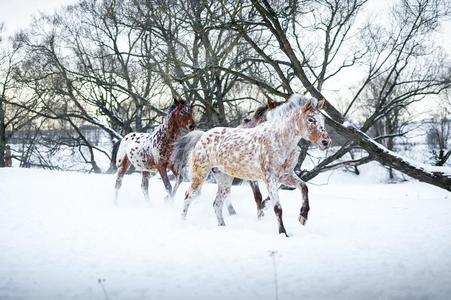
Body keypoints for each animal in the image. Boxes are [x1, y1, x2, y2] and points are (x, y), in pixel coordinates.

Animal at [180, 95, 332, 236]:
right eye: (311, 119)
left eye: (323, 120)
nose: (326, 142)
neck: (280, 140)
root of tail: (203, 136)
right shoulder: (270, 178)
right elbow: (277, 208)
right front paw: (283, 233)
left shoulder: (285, 176)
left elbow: (304, 188)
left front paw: (303, 216)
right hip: (200, 174)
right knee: (188, 196)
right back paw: (183, 222)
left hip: (225, 179)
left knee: (217, 203)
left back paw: (222, 227)